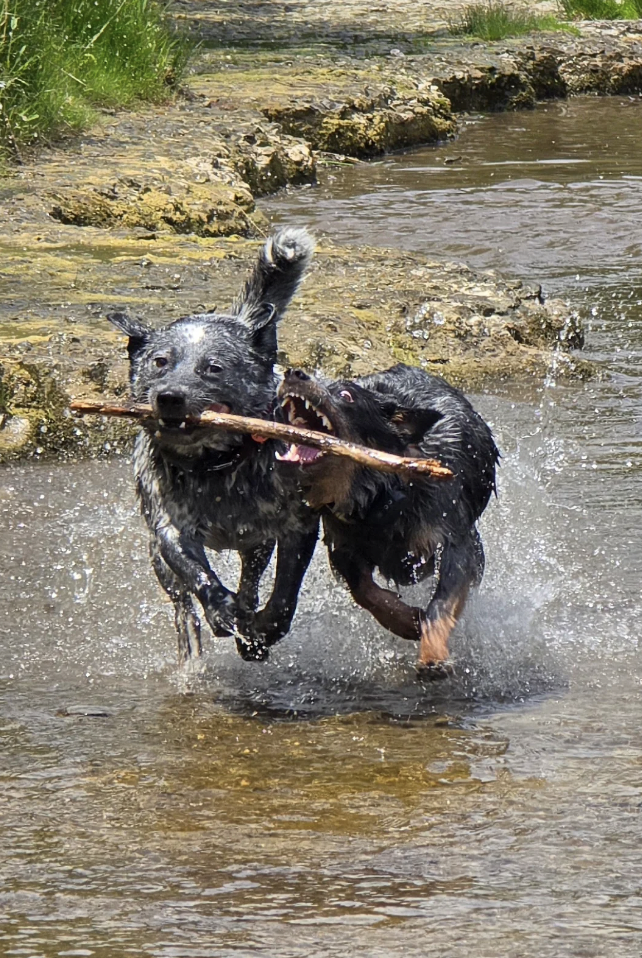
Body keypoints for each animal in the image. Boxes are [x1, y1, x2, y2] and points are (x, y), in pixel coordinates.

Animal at [110, 229, 320, 664]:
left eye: (213, 367)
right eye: (160, 362)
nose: (169, 398)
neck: (218, 467)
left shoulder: (298, 526)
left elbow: (283, 595)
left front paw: (261, 629)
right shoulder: (170, 529)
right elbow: (197, 574)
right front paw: (221, 610)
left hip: (257, 544)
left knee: (251, 579)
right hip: (157, 560)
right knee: (182, 605)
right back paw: (193, 647)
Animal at [274, 364, 496, 680]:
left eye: (346, 395)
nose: (294, 373)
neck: (382, 495)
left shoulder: (455, 544)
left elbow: (441, 605)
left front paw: (433, 656)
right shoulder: (342, 543)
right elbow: (364, 590)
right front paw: (406, 620)